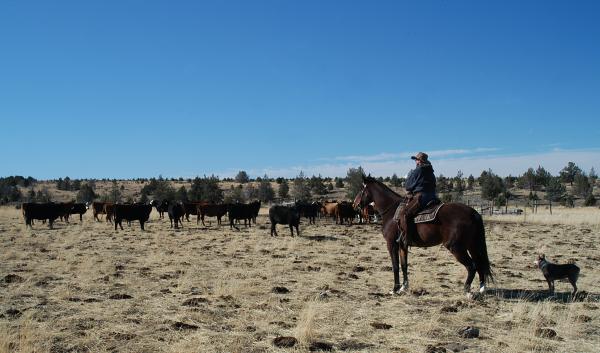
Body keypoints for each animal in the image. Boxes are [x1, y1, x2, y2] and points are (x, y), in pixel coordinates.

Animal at [352, 175, 492, 294]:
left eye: (362, 189)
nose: (354, 204)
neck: (392, 212)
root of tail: (473, 212)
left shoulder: (391, 244)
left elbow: (395, 266)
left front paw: (395, 289)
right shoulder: (402, 245)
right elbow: (404, 265)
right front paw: (404, 287)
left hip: (456, 247)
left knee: (471, 266)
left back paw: (467, 291)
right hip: (472, 246)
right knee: (479, 264)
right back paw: (481, 289)